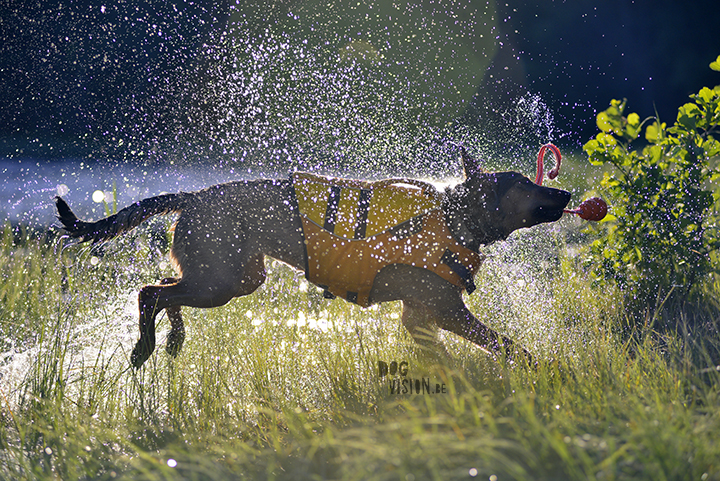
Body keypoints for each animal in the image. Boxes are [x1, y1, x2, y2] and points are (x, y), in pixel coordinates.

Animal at [56, 148, 572, 366]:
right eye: (525, 184)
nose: (566, 193)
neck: (452, 215)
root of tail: (193, 195)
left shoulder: (421, 314)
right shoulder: (440, 309)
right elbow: (505, 344)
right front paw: (541, 368)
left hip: (233, 275)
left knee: (165, 290)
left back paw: (174, 338)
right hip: (220, 281)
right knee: (149, 292)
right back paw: (145, 345)